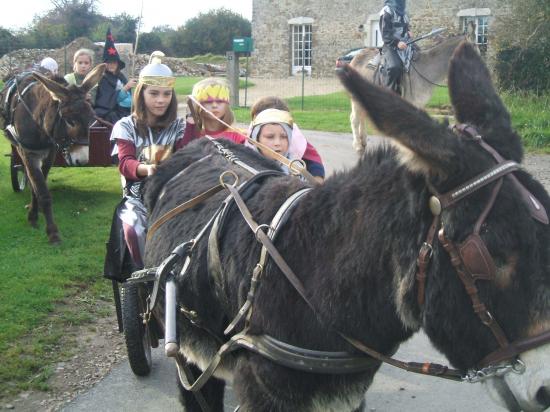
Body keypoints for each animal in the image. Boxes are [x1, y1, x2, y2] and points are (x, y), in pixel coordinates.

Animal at [0, 65, 104, 245]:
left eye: (91, 118)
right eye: (70, 121)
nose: (83, 159)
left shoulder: (50, 153)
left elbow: (38, 187)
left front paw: (34, 215)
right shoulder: (28, 153)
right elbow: (42, 192)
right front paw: (52, 233)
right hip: (17, 147)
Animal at [143, 42, 550, 412]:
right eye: (489, 255)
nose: (546, 391)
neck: (315, 280)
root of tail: (207, 143)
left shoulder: (346, 396)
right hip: (190, 355)